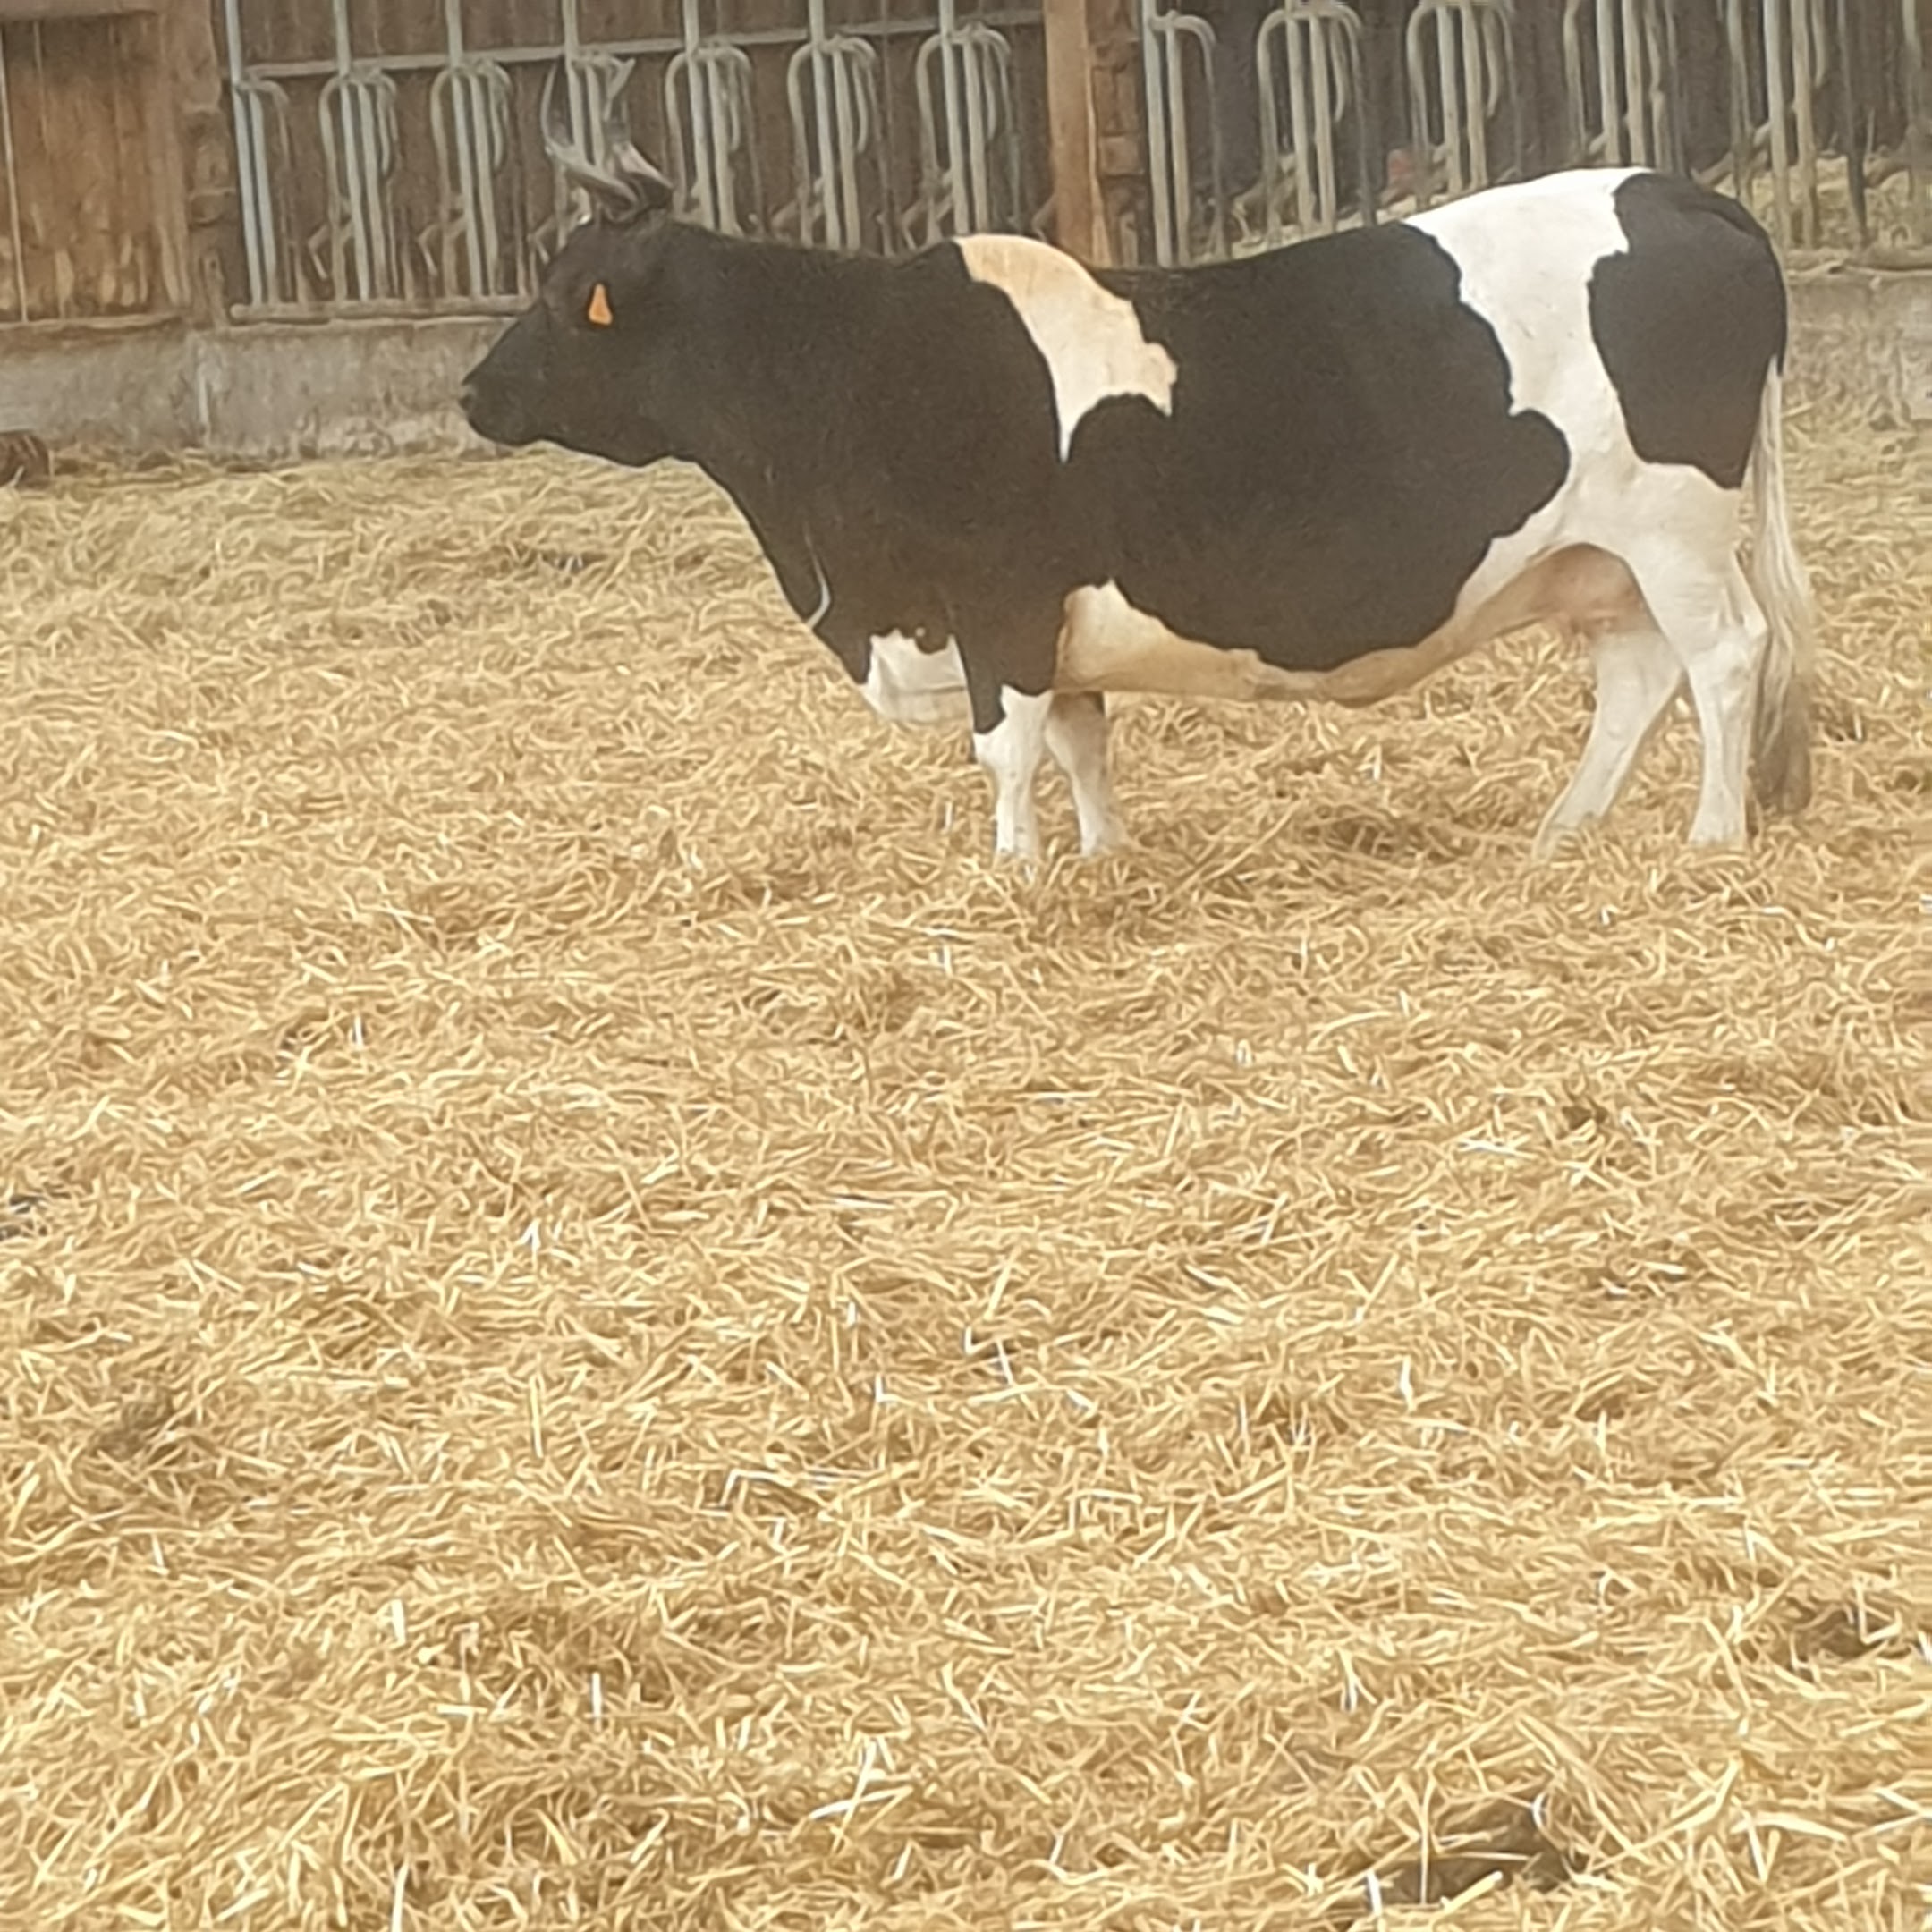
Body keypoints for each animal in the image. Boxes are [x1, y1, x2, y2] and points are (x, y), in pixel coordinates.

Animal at [461, 101, 1814, 867]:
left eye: (562, 296)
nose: (474, 391)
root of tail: (1687, 194)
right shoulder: (1050, 622)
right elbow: (1080, 742)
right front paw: (1105, 859)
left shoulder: (999, 603)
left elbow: (1008, 751)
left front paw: (1014, 875)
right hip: (1604, 557)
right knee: (1638, 678)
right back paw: (1562, 833)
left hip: (1676, 530)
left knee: (1724, 657)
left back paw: (1713, 836)